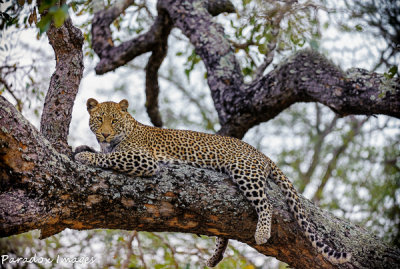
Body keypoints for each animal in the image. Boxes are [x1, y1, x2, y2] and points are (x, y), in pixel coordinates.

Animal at [74, 98, 350, 266]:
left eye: (114, 120)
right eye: (99, 119)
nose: (105, 133)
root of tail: (262, 154)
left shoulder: (144, 159)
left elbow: (111, 157)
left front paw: (85, 156)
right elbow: (104, 152)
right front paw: (83, 147)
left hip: (244, 171)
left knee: (267, 204)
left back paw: (261, 233)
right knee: (223, 232)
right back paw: (215, 257)